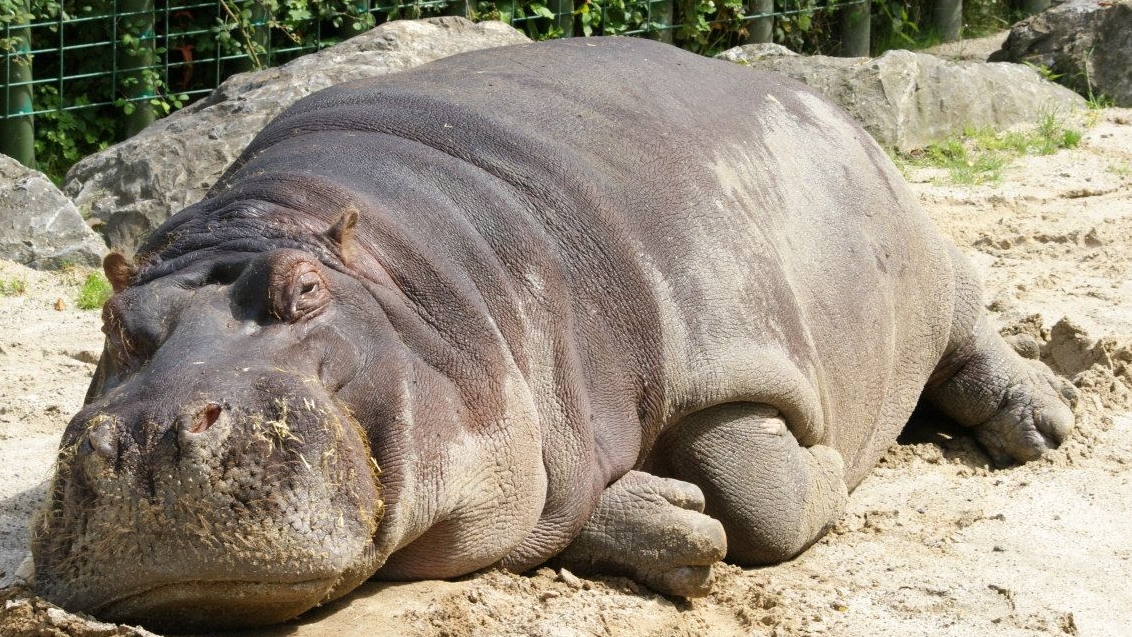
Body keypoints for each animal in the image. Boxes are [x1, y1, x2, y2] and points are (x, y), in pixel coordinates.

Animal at [31, 36, 1076, 631]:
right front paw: (671, 516)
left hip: (924, 253)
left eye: (306, 289)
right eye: (111, 321)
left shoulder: (727, 334)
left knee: (968, 311)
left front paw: (821, 468)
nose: (148, 436)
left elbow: (768, 497)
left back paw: (1043, 419)